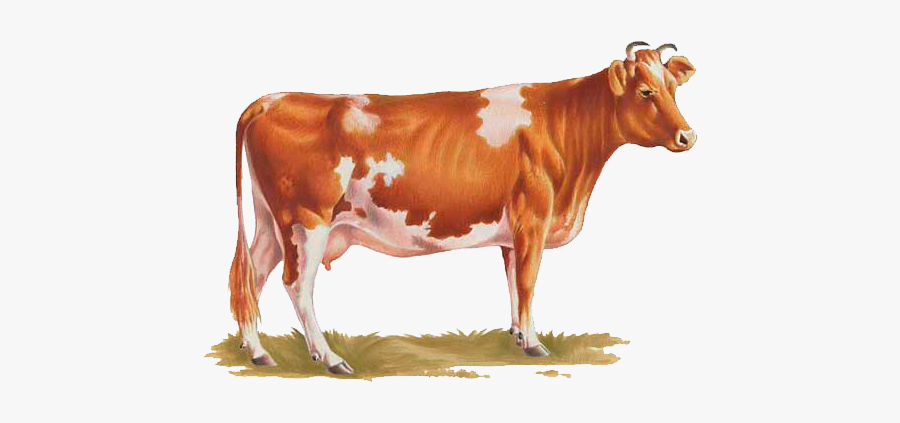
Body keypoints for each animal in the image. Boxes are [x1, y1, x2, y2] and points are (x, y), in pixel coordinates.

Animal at [228, 42, 697, 374]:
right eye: (646, 91)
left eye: (674, 90)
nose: (687, 137)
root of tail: (272, 99)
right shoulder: (534, 218)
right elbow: (528, 281)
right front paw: (535, 343)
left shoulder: (512, 232)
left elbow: (512, 282)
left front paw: (517, 335)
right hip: (307, 221)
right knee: (297, 285)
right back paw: (329, 358)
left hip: (271, 223)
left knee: (252, 276)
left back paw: (258, 352)